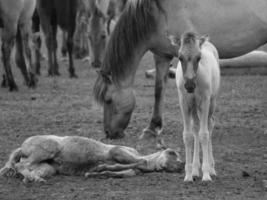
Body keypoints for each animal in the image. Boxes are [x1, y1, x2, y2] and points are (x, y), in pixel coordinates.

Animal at [0, 134, 184, 183]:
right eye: (172, 153)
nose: (181, 166)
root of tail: (23, 145)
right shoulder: (118, 151)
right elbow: (139, 161)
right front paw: (98, 168)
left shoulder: (131, 170)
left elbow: (123, 171)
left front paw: (95, 172)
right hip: (47, 149)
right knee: (22, 165)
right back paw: (32, 179)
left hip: (47, 167)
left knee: (24, 168)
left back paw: (32, 178)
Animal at [94, 0, 267, 140]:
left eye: (108, 100)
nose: (109, 133)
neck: (158, 12)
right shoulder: (162, 55)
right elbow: (159, 90)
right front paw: (152, 127)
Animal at [171, 30, 221, 181]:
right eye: (180, 57)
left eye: (198, 57)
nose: (189, 86)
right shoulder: (184, 102)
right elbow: (187, 135)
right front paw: (188, 176)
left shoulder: (204, 101)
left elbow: (204, 134)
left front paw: (206, 176)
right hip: (193, 106)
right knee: (196, 127)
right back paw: (194, 170)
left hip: (212, 102)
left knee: (210, 124)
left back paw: (211, 168)